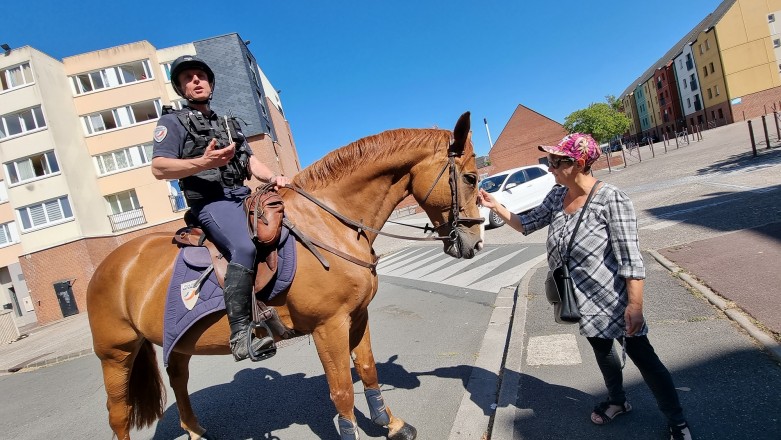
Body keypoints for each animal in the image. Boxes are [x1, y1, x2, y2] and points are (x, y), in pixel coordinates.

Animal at [88, 111, 484, 438]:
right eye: (470, 177)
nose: (476, 241)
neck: (328, 223)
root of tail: (107, 267)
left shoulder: (357, 317)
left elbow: (369, 370)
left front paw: (391, 424)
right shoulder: (329, 326)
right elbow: (341, 391)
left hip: (179, 340)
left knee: (179, 380)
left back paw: (195, 430)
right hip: (116, 353)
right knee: (117, 414)